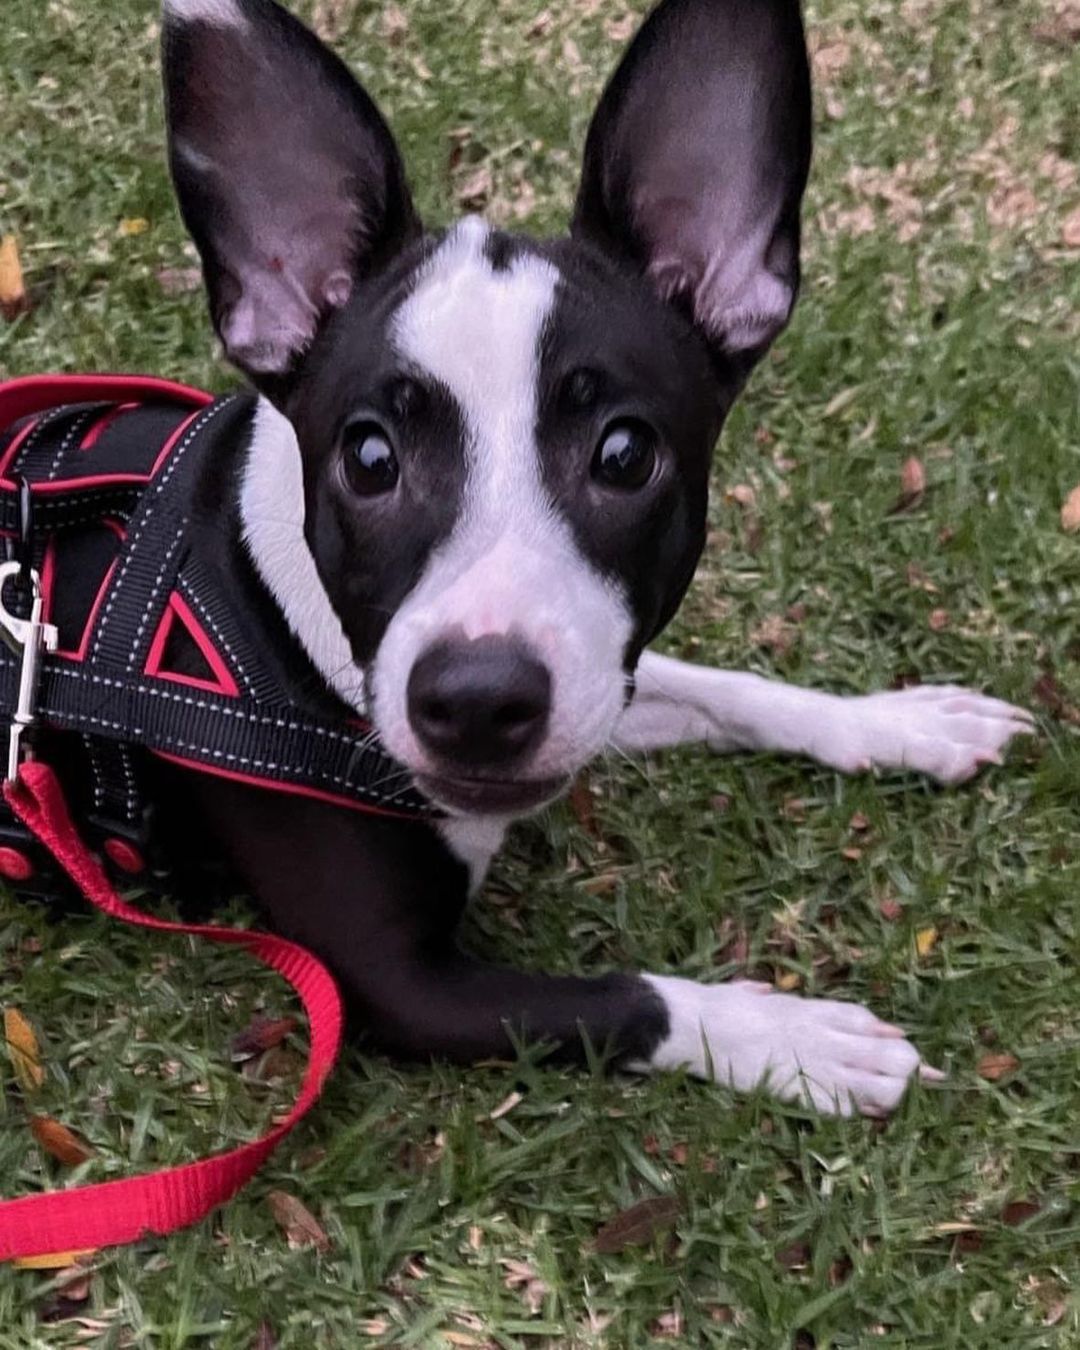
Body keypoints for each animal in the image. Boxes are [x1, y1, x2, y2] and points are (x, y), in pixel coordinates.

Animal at [50, 0, 1031, 1117]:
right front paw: (789, 1035)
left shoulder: (602, 676)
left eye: (625, 452)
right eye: (369, 458)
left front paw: (902, 723)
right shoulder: (399, 985)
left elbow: (732, 689)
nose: (477, 701)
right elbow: (626, 999)